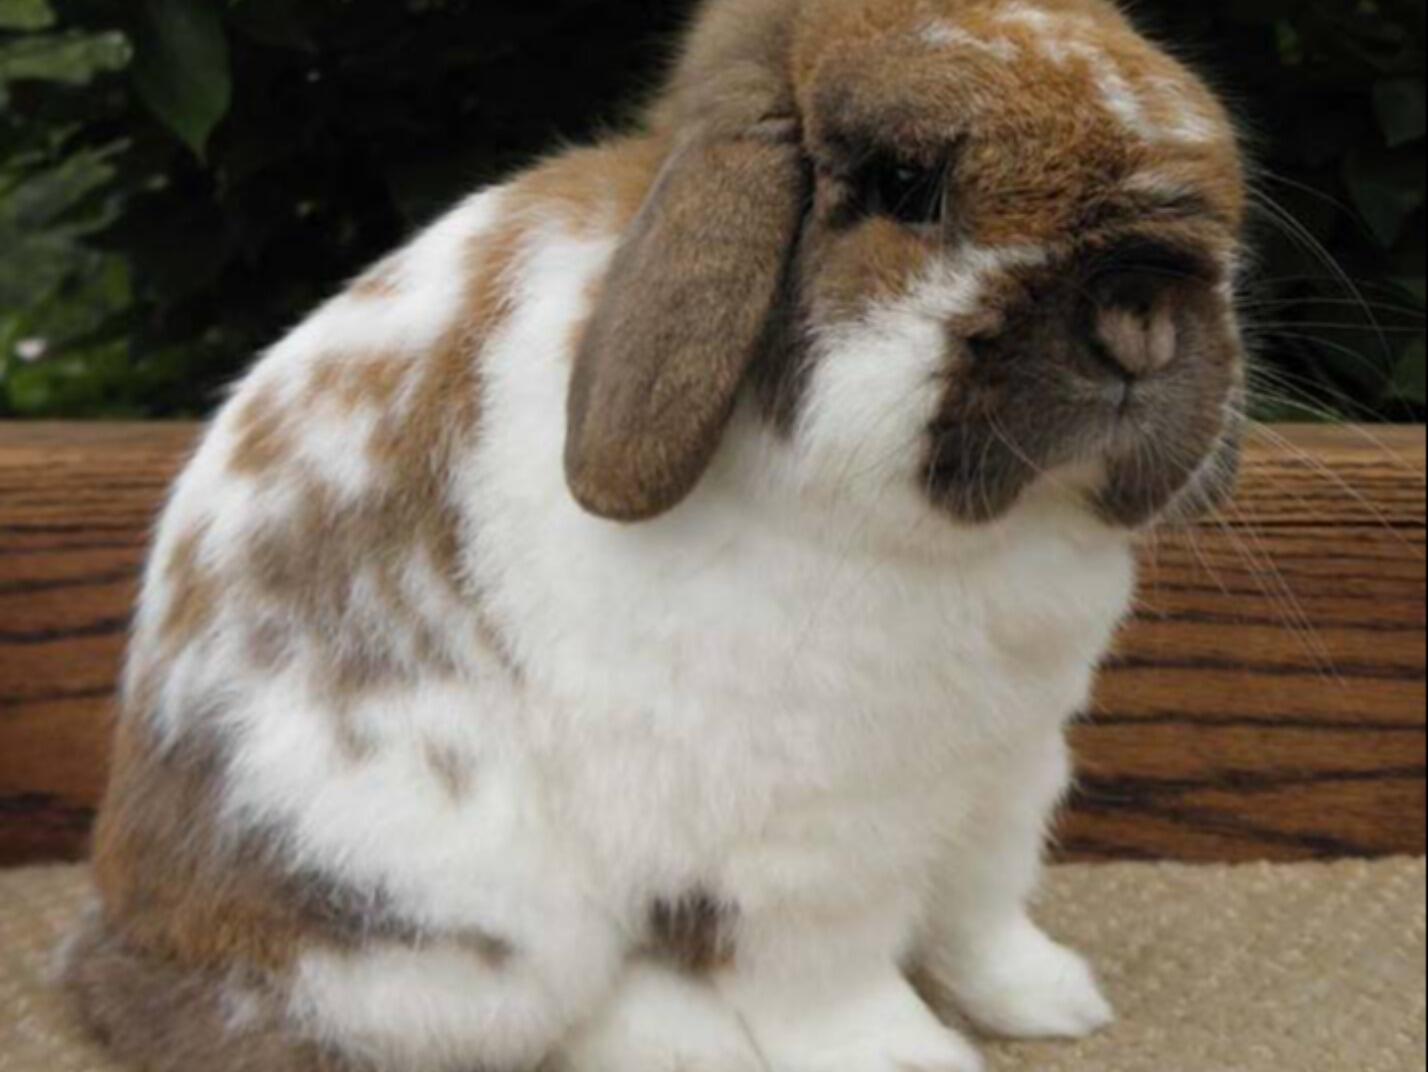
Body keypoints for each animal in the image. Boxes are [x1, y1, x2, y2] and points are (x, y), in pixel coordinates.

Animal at [61, 0, 1248, 1070]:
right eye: (908, 187)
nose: (1138, 316)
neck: (972, 540)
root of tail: (124, 959)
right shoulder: (806, 842)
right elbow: (830, 976)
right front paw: (907, 1057)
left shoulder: (1008, 772)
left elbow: (981, 911)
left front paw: (1053, 1001)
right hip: (459, 924)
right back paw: (682, 1039)